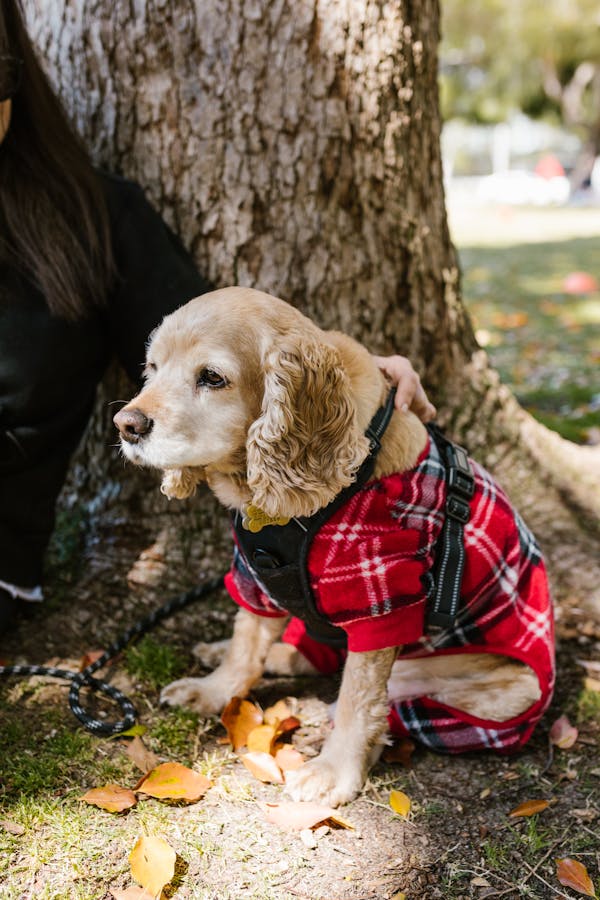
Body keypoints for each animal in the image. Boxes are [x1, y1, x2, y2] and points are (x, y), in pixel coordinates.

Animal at [115, 284, 556, 804]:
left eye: (212, 377)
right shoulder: (255, 571)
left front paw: (333, 771)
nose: (125, 424)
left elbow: (356, 700)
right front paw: (214, 689)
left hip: (489, 688)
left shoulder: (379, 597)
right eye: (153, 367)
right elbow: (246, 641)